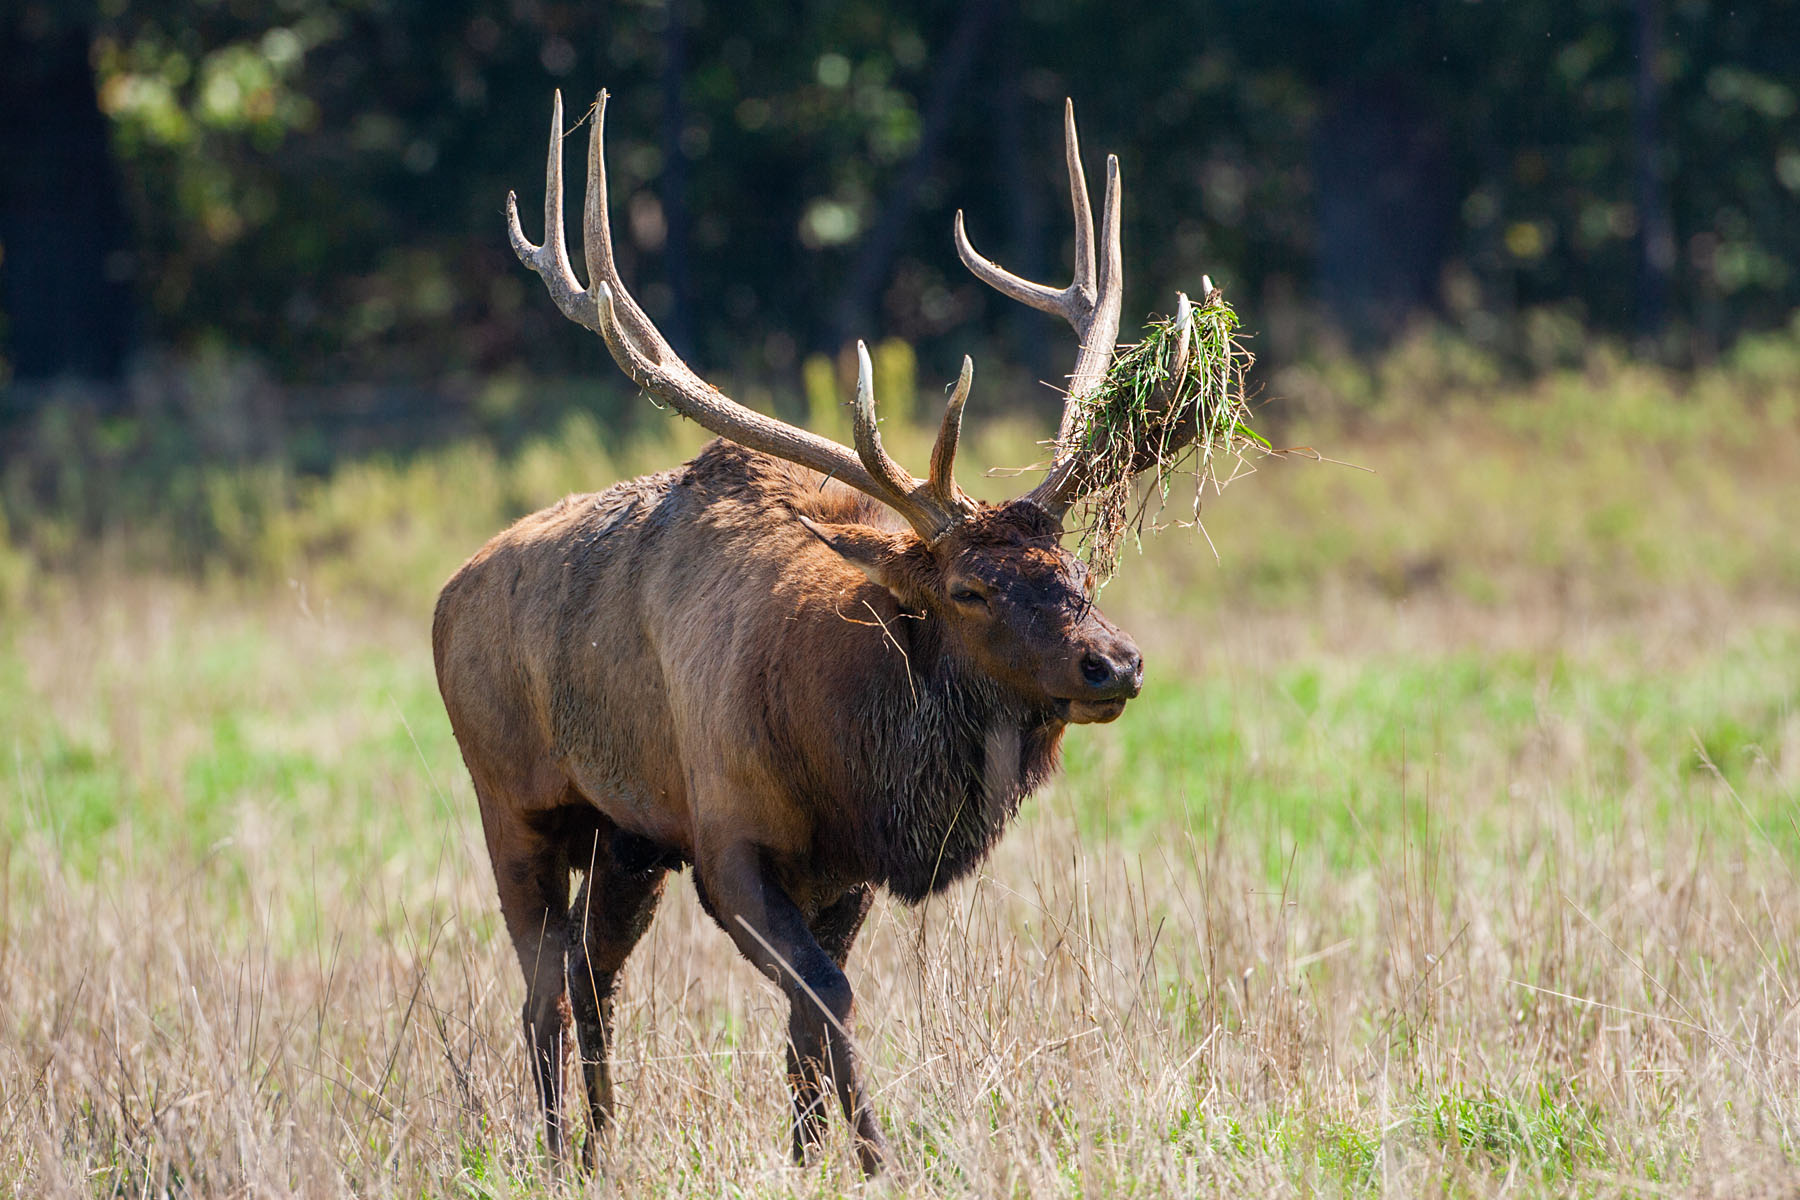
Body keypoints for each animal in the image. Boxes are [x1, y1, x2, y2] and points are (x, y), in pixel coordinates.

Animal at [430, 91, 1202, 1173]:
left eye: (1080, 572)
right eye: (969, 588)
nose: (1114, 661)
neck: (842, 754)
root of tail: (445, 595)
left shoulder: (845, 873)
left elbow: (803, 1023)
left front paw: (807, 1156)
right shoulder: (727, 842)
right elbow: (827, 999)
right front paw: (879, 1158)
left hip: (627, 835)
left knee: (592, 973)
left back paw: (599, 1144)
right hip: (513, 799)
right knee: (545, 986)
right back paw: (552, 1152)